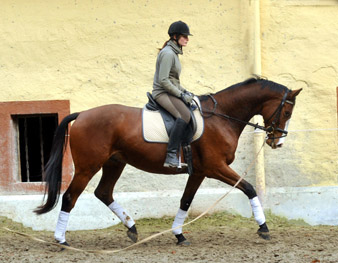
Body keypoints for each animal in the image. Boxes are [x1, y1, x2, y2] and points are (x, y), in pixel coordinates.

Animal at [35, 78, 302, 248]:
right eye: (287, 112)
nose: (277, 142)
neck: (221, 118)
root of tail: (82, 114)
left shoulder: (199, 172)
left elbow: (185, 201)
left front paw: (179, 235)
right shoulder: (216, 168)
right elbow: (249, 188)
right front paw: (264, 228)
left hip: (114, 163)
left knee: (103, 192)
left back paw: (132, 229)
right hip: (87, 167)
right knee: (70, 197)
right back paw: (61, 239)